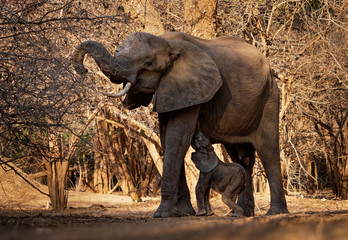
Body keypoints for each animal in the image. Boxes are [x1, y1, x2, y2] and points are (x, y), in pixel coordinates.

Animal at [71, 31, 288, 218]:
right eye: (117, 52)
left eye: (148, 63)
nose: (84, 69)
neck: (168, 44)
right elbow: (167, 139)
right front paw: (183, 213)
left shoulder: (191, 88)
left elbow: (178, 139)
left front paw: (163, 214)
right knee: (242, 158)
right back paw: (243, 213)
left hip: (269, 97)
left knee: (268, 151)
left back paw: (274, 214)